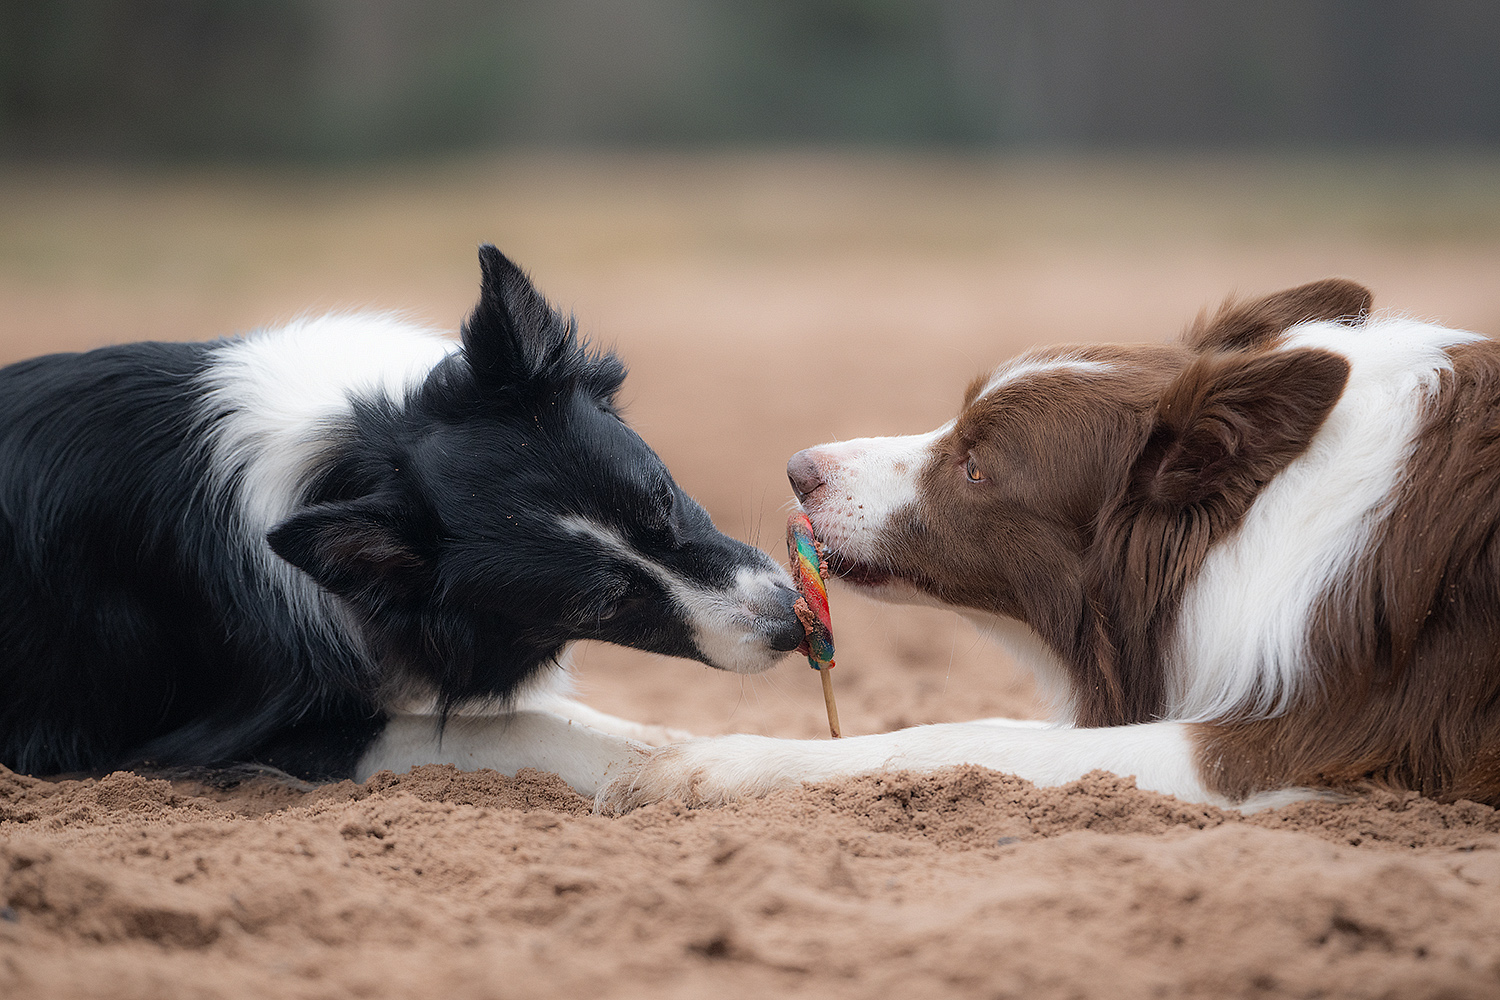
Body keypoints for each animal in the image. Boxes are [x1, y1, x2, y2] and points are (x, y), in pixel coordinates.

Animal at [0, 245, 810, 791]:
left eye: (662, 498)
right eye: (599, 604)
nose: (791, 625)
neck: (356, 455)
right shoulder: (222, 737)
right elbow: (531, 727)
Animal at [603, 280, 1500, 815]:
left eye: (975, 467)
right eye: (958, 426)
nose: (799, 469)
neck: (1256, 517)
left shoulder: (1319, 742)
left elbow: (943, 740)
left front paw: (702, 761)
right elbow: (995, 728)